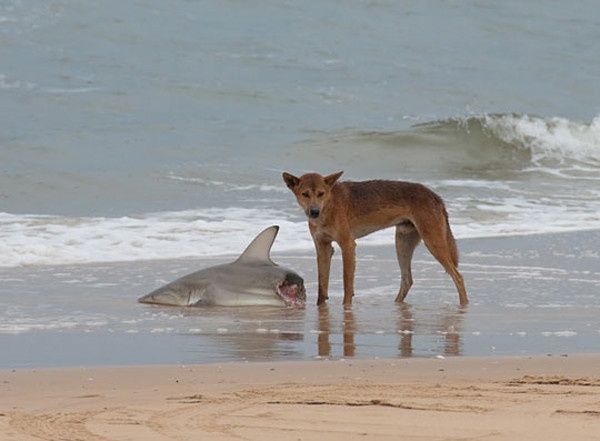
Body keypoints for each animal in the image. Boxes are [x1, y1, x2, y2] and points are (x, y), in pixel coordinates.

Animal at [282, 171, 468, 306]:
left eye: (321, 194)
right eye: (305, 194)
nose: (314, 212)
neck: (329, 206)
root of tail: (436, 196)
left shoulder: (347, 245)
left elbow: (347, 284)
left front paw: (346, 308)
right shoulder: (323, 247)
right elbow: (322, 284)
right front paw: (320, 307)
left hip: (433, 243)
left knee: (458, 277)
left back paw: (464, 305)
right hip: (402, 244)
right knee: (407, 280)